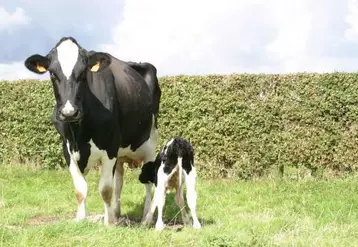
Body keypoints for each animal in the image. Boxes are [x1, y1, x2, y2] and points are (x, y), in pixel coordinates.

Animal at [23, 37, 161, 226]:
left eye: (83, 73)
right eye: (52, 74)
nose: (69, 112)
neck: (79, 135)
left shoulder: (110, 147)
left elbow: (105, 189)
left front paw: (108, 223)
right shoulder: (67, 149)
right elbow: (80, 188)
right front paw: (82, 219)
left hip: (149, 146)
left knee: (148, 182)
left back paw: (146, 218)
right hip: (121, 153)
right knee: (119, 180)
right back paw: (116, 212)